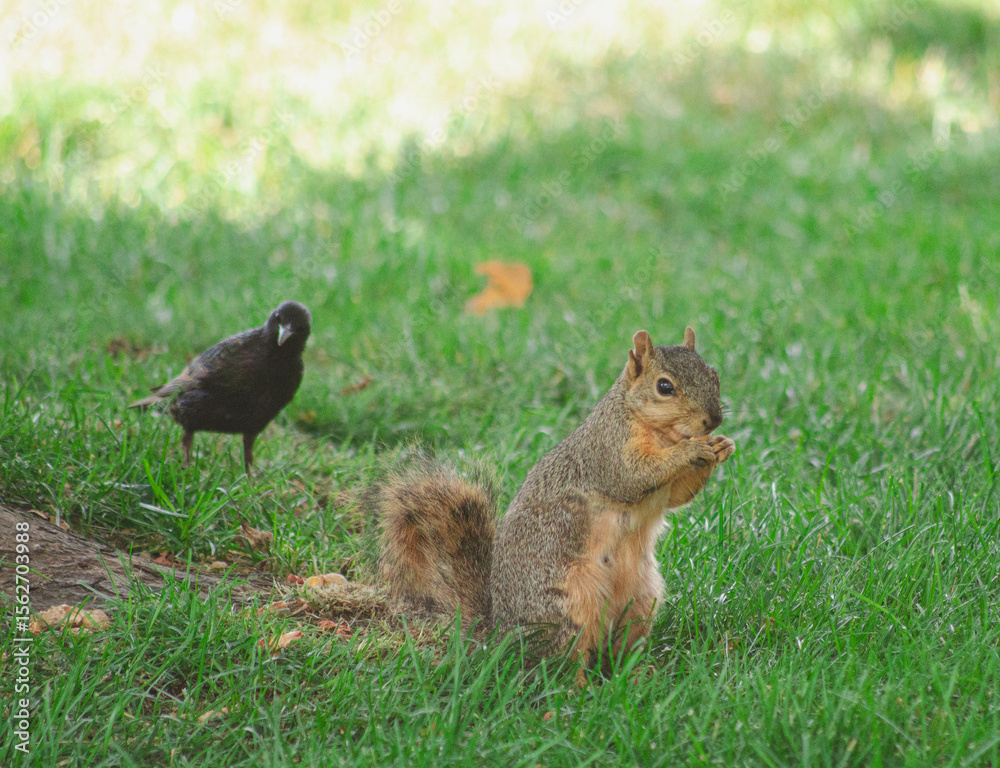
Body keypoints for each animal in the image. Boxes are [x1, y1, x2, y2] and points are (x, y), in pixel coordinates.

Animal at [369, 328, 734, 676]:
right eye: (664, 386)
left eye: (714, 374)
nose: (713, 420)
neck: (659, 432)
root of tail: (501, 635)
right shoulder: (606, 451)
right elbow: (631, 476)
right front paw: (692, 449)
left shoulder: (667, 489)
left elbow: (679, 495)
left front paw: (721, 446)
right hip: (564, 609)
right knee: (561, 662)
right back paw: (578, 689)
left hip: (641, 602)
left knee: (619, 648)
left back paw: (639, 674)